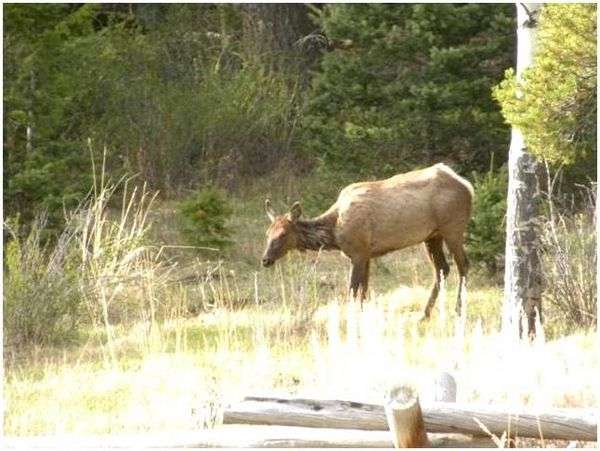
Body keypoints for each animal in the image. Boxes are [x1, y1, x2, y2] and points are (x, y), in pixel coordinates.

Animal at [262, 164, 474, 320]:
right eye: (267, 233)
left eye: (283, 234)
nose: (265, 259)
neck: (334, 233)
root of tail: (468, 187)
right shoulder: (367, 254)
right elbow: (363, 291)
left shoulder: (358, 252)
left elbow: (353, 290)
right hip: (432, 236)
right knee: (442, 269)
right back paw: (425, 314)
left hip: (453, 227)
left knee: (463, 264)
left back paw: (458, 310)